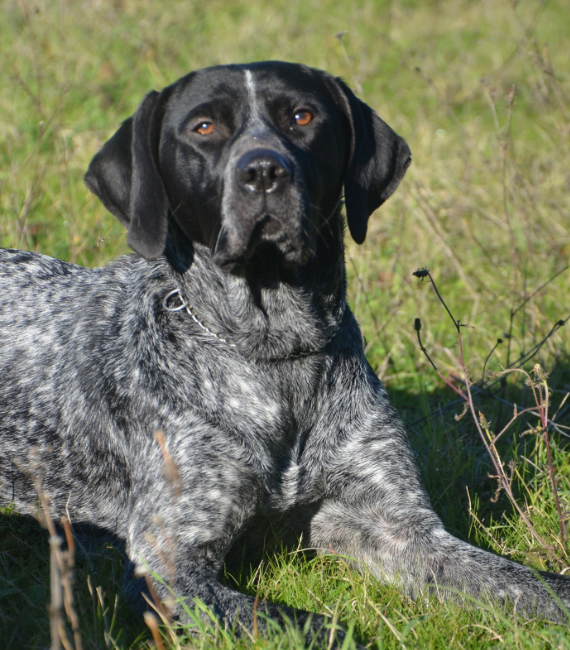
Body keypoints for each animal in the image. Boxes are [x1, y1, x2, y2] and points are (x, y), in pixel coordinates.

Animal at [0, 62, 564, 644]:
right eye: (204, 127)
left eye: (303, 116)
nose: (265, 172)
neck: (273, 354)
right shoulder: (172, 565)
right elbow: (303, 625)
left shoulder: (402, 528)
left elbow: (533, 585)